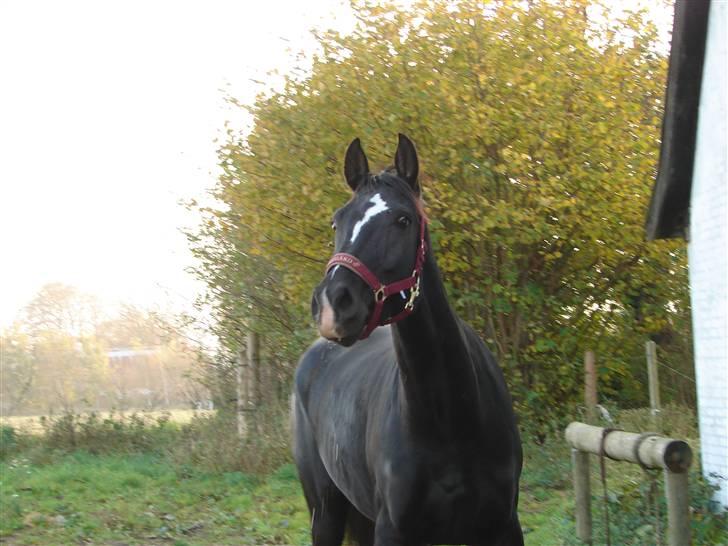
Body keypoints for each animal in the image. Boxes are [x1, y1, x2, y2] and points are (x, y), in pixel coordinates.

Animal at [290, 133, 524, 544]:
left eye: (403, 220)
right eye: (337, 221)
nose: (333, 304)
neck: (452, 420)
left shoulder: (504, 526)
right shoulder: (394, 530)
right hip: (326, 513)